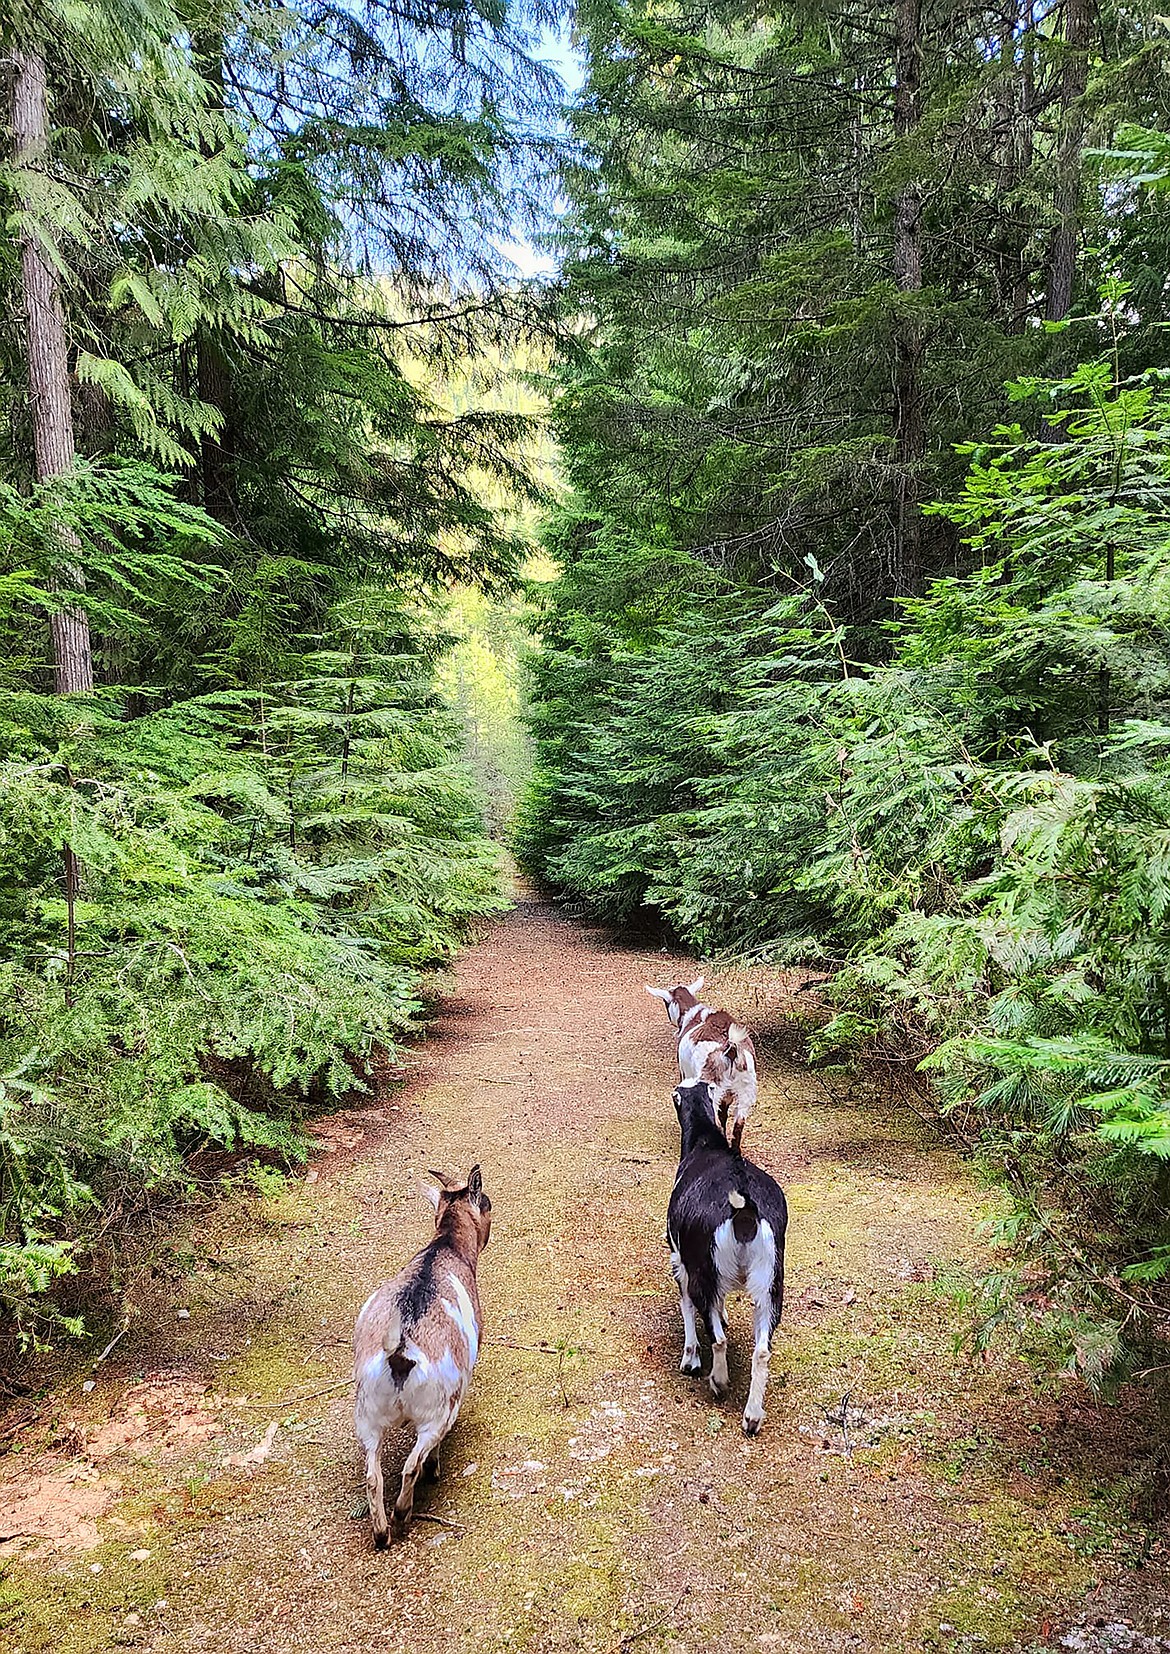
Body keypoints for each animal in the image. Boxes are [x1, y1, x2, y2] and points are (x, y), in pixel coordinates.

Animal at [352, 1164, 489, 1534]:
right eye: (486, 1203)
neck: (444, 1247)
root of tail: (399, 1352)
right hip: (438, 1411)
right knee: (413, 1463)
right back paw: (404, 1510)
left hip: (367, 1415)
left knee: (372, 1475)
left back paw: (381, 1533)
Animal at [648, 965, 761, 1151]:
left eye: (665, 1002)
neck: (693, 1016)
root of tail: (730, 1050)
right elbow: (724, 1115)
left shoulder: (685, 1074)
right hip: (746, 1089)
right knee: (738, 1126)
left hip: (712, 1086)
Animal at [668, 1085, 787, 1435]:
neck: (707, 1144)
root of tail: (744, 1210)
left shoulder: (682, 1262)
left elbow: (687, 1307)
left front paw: (690, 1359)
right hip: (770, 1283)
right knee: (762, 1351)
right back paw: (753, 1415)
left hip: (703, 1273)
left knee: (717, 1338)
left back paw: (718, 1381)